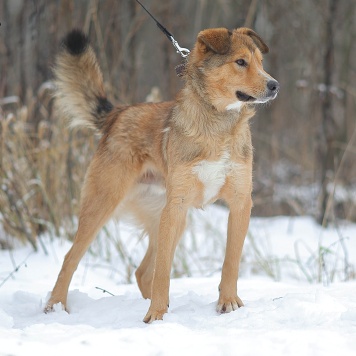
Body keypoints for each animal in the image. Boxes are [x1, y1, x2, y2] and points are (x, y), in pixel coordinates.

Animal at [43, 27, 278, 322]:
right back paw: (55, 306)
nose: (274, 85)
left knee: (142, 272)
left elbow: (230, 262)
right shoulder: (176, 207)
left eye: (261, 62)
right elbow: (164, 271)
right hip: (106, 205)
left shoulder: (240, 202)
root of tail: (118, 114)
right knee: (71, 259)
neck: (218, 124)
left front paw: (228, 303)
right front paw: (155, 315)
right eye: (240, 62)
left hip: (166, 217)